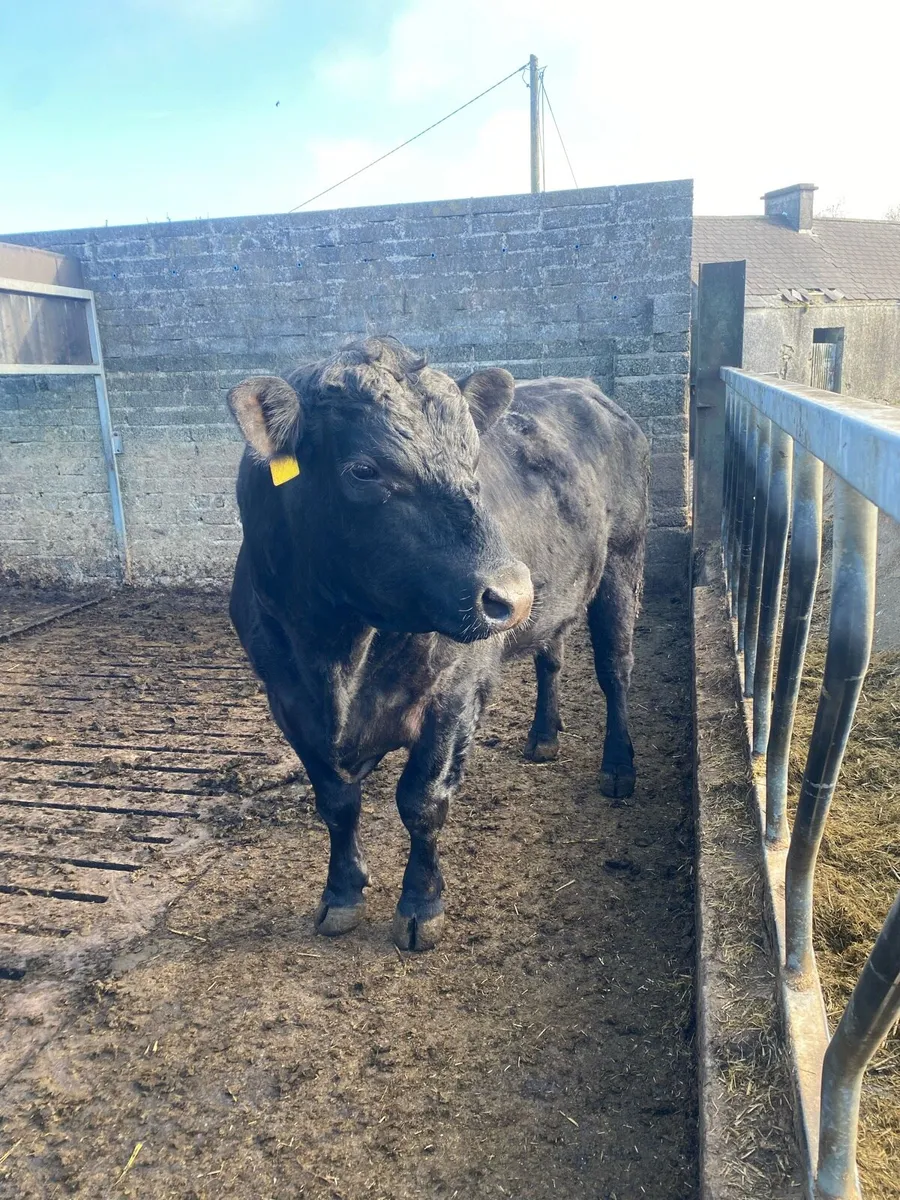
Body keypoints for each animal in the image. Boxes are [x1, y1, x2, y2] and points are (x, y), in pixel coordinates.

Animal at [227, 337, 649, 951]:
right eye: (363, 470)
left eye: (472, 460)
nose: (512, 594)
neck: (336, 654)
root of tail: (588, 389)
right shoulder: (287, 701)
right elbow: (335, 803)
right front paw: (341, 895)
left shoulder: (454, 693)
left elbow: (422, 801)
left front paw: (420, 907)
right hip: (562, 592)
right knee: (551, 657)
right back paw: (543, 737)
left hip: (623, 561)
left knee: (615, 668)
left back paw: (618, 767)